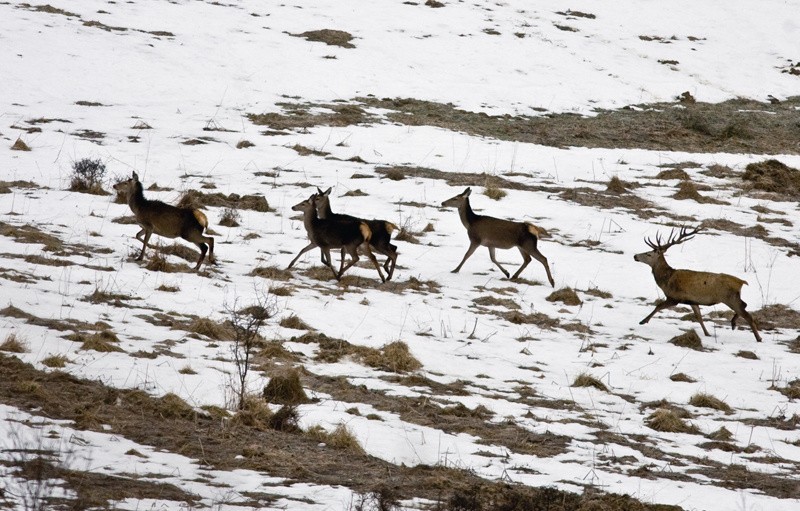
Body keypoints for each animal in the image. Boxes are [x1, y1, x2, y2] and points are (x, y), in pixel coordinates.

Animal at [632, 226, 764, 342]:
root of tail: (741, 282)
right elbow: (699, 317)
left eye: (649, 253)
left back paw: (758, 337)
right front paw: (707, 333)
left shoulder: (674, 297)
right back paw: (733, 323)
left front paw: (643, 321)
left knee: (747, 314)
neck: (666, 279)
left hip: (729, 298)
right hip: (733, 297)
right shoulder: (692, 300)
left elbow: (658, 306)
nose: (635, 256)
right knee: (745, 305)